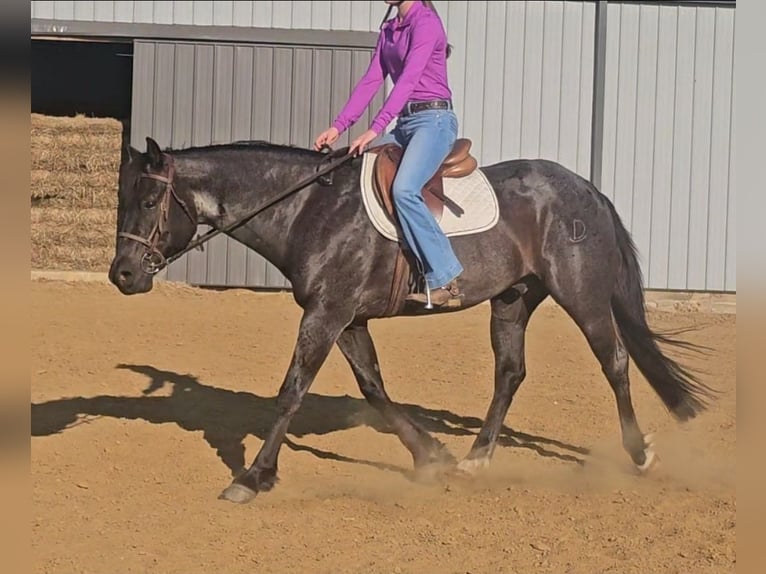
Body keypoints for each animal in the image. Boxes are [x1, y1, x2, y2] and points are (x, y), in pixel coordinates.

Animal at [108, 135, 716, 504]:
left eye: (148, 203)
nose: (121, 275)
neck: (308, 209)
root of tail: (585, 188)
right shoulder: (346, 319)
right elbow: (374, 388)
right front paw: (431, 456)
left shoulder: (327, 314)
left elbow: (291, 391)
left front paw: (254, 477)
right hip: (512, 300)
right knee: (510, 373)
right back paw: (475, 459)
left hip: (581, 295)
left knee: (614, 361)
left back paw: (640, 454)